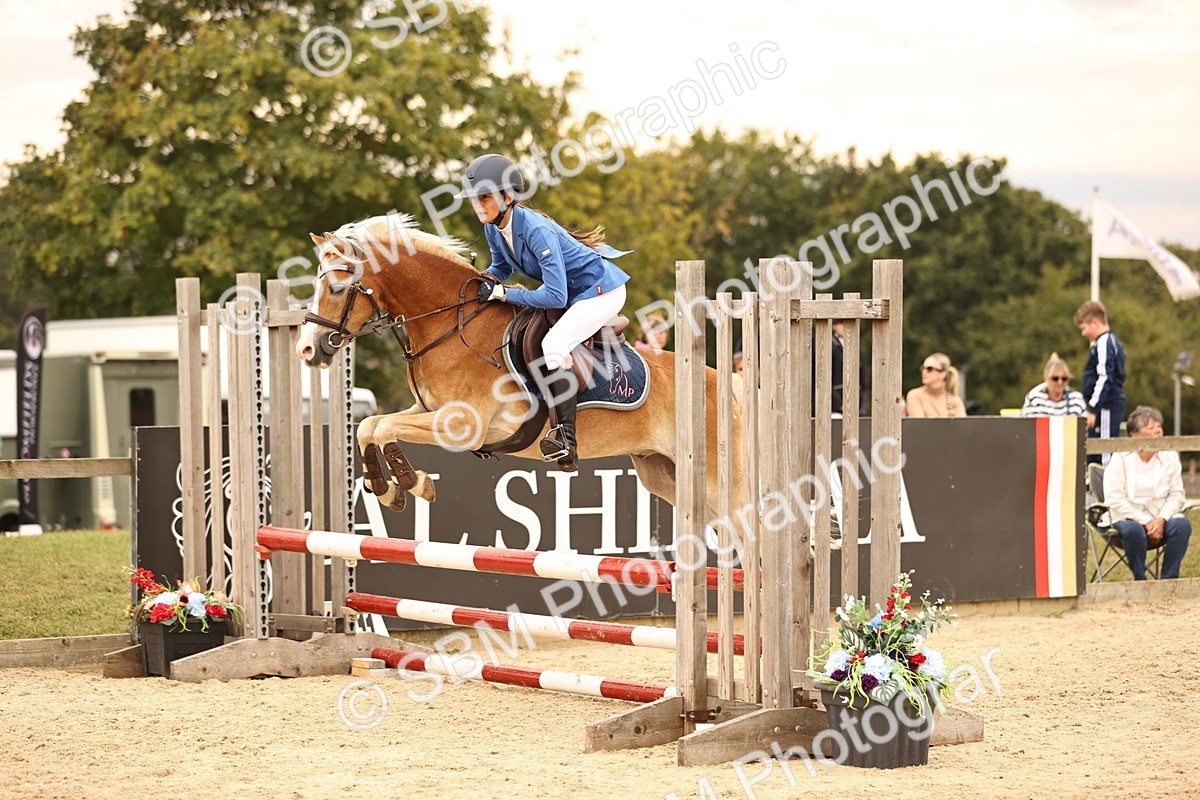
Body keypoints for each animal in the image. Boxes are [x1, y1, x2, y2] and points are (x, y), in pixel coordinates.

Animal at [295, 214, 743, 526]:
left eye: (336, 287)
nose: (308, 350)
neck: (448, 322)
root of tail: (726, 381)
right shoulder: (426, 411)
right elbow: (370, 426)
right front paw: (389, 490)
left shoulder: (463, 425)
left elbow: (383, 426)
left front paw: (411, 484)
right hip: (664, 473)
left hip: (715, 480)